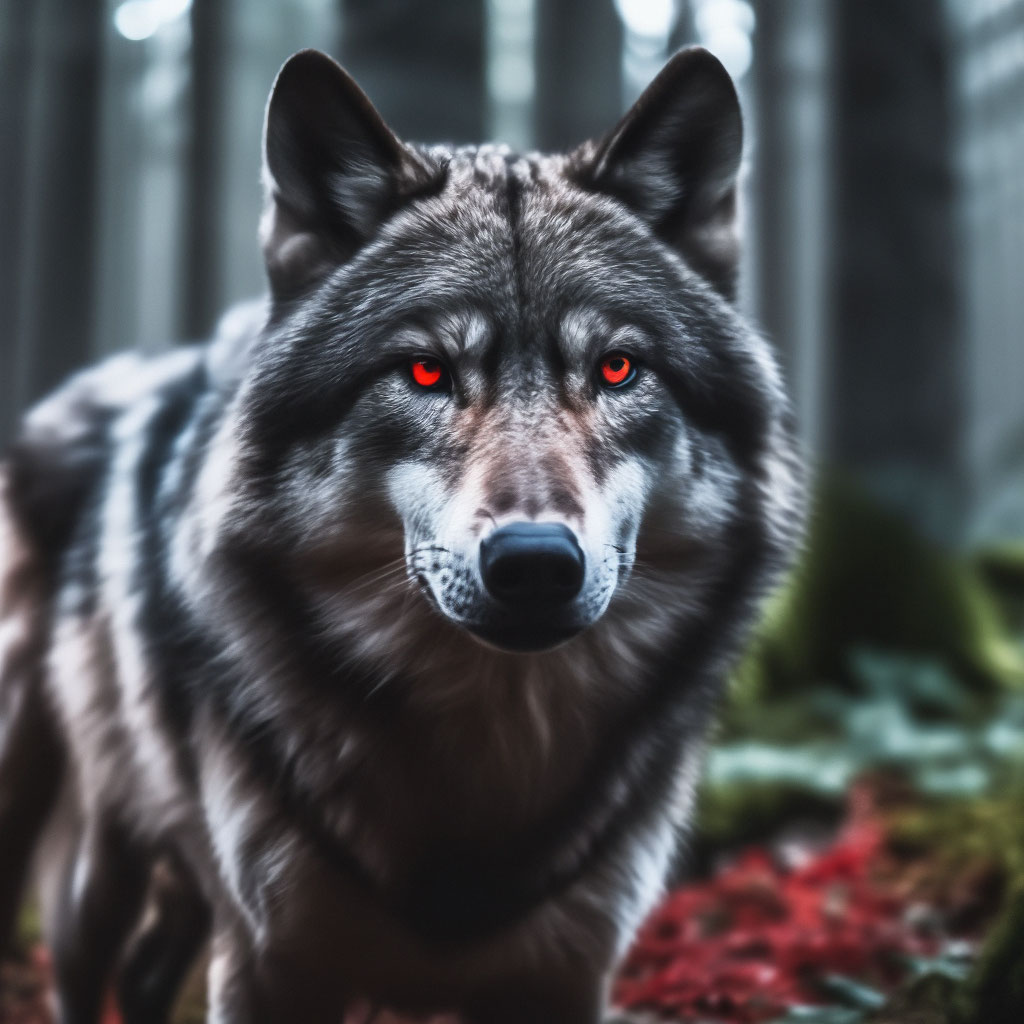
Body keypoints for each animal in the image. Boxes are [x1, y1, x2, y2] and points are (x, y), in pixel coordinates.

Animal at [0, 46, 803, 1024]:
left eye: (618, 368)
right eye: (425, 372)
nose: (536, 564)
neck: (487, 764)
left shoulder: (566, 973)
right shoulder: (272, 964)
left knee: (146, 971)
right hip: (79, 842)